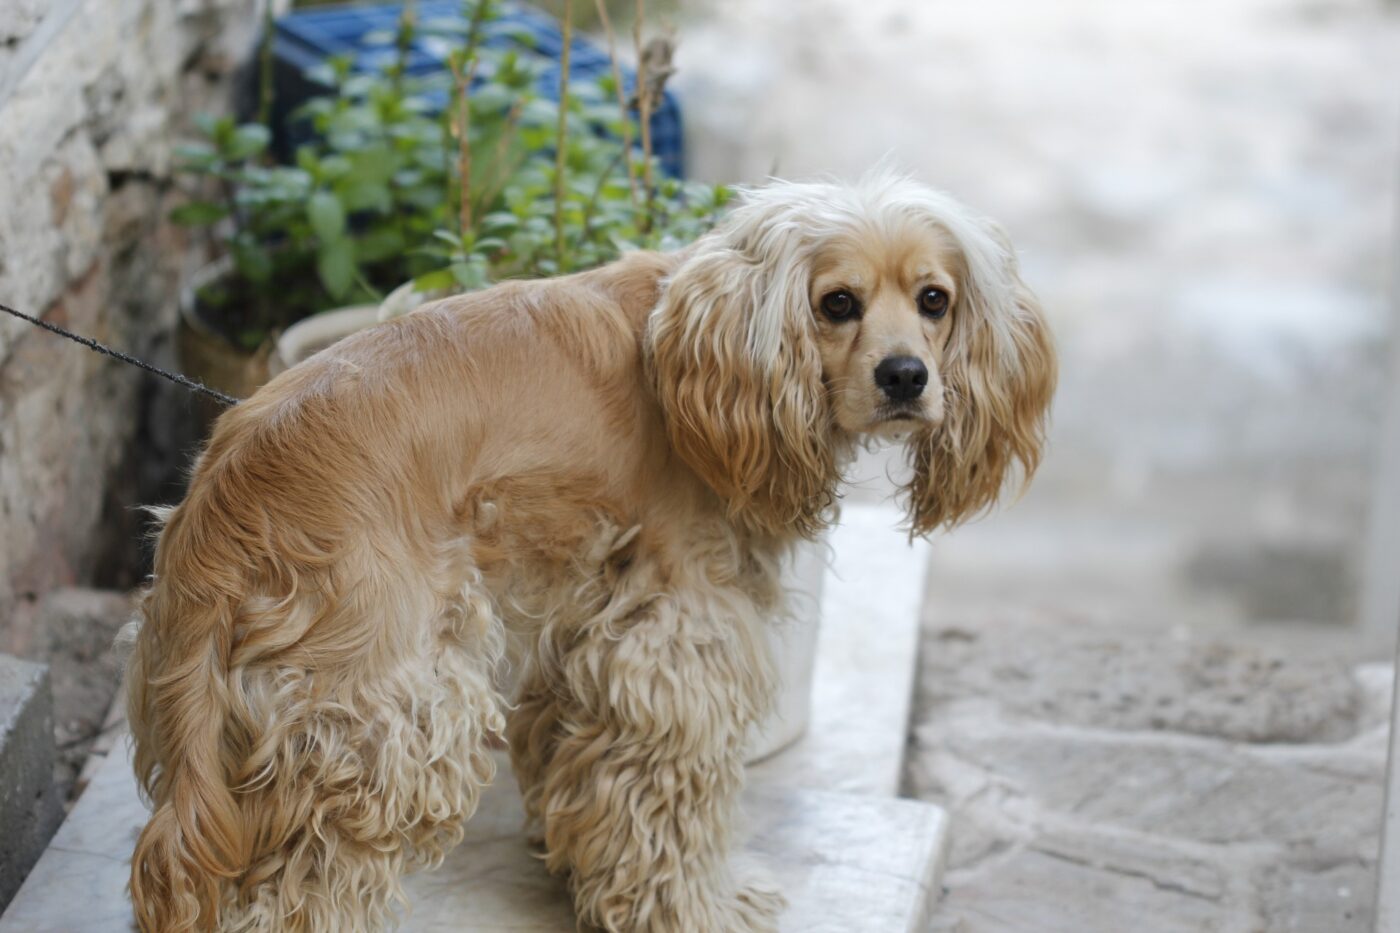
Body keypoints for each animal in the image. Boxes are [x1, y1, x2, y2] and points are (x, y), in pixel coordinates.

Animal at [126, 170, 1052, 924]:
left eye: (934, 299)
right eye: (837, 304)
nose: (906, 377)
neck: (706, 359)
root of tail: (224, 499)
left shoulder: (586, 616)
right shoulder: (676, 638)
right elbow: (670, 805)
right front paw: (697, 909)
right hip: (388, 723)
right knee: (298, 888)